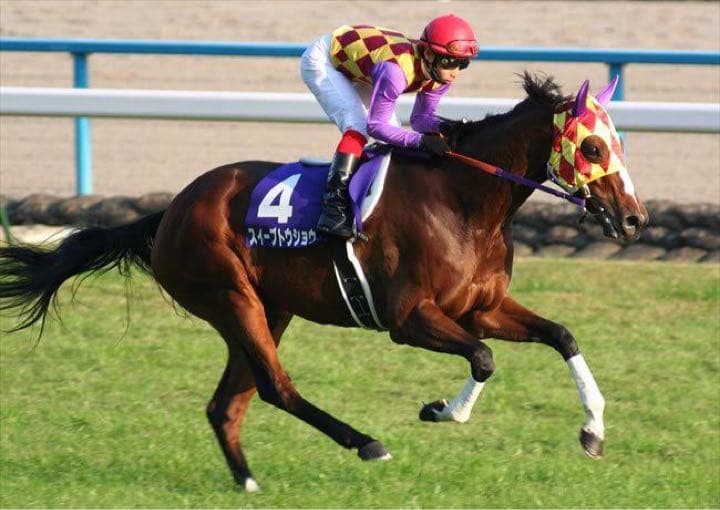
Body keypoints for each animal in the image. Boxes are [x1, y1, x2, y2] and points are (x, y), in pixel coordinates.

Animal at [0, 73, 648, 492]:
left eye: (619, 142)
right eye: (593, 146)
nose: (635, 219)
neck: (466, 201)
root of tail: (171, 210)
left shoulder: (481, 308)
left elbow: (561, 335)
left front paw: (592, 432)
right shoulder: (409, 319)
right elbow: (485, 359)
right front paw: (443, 411)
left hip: (269, 308)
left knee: (228, 403)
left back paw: (249, 483)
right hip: (231, 297)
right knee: (274, 388)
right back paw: (366, 443)